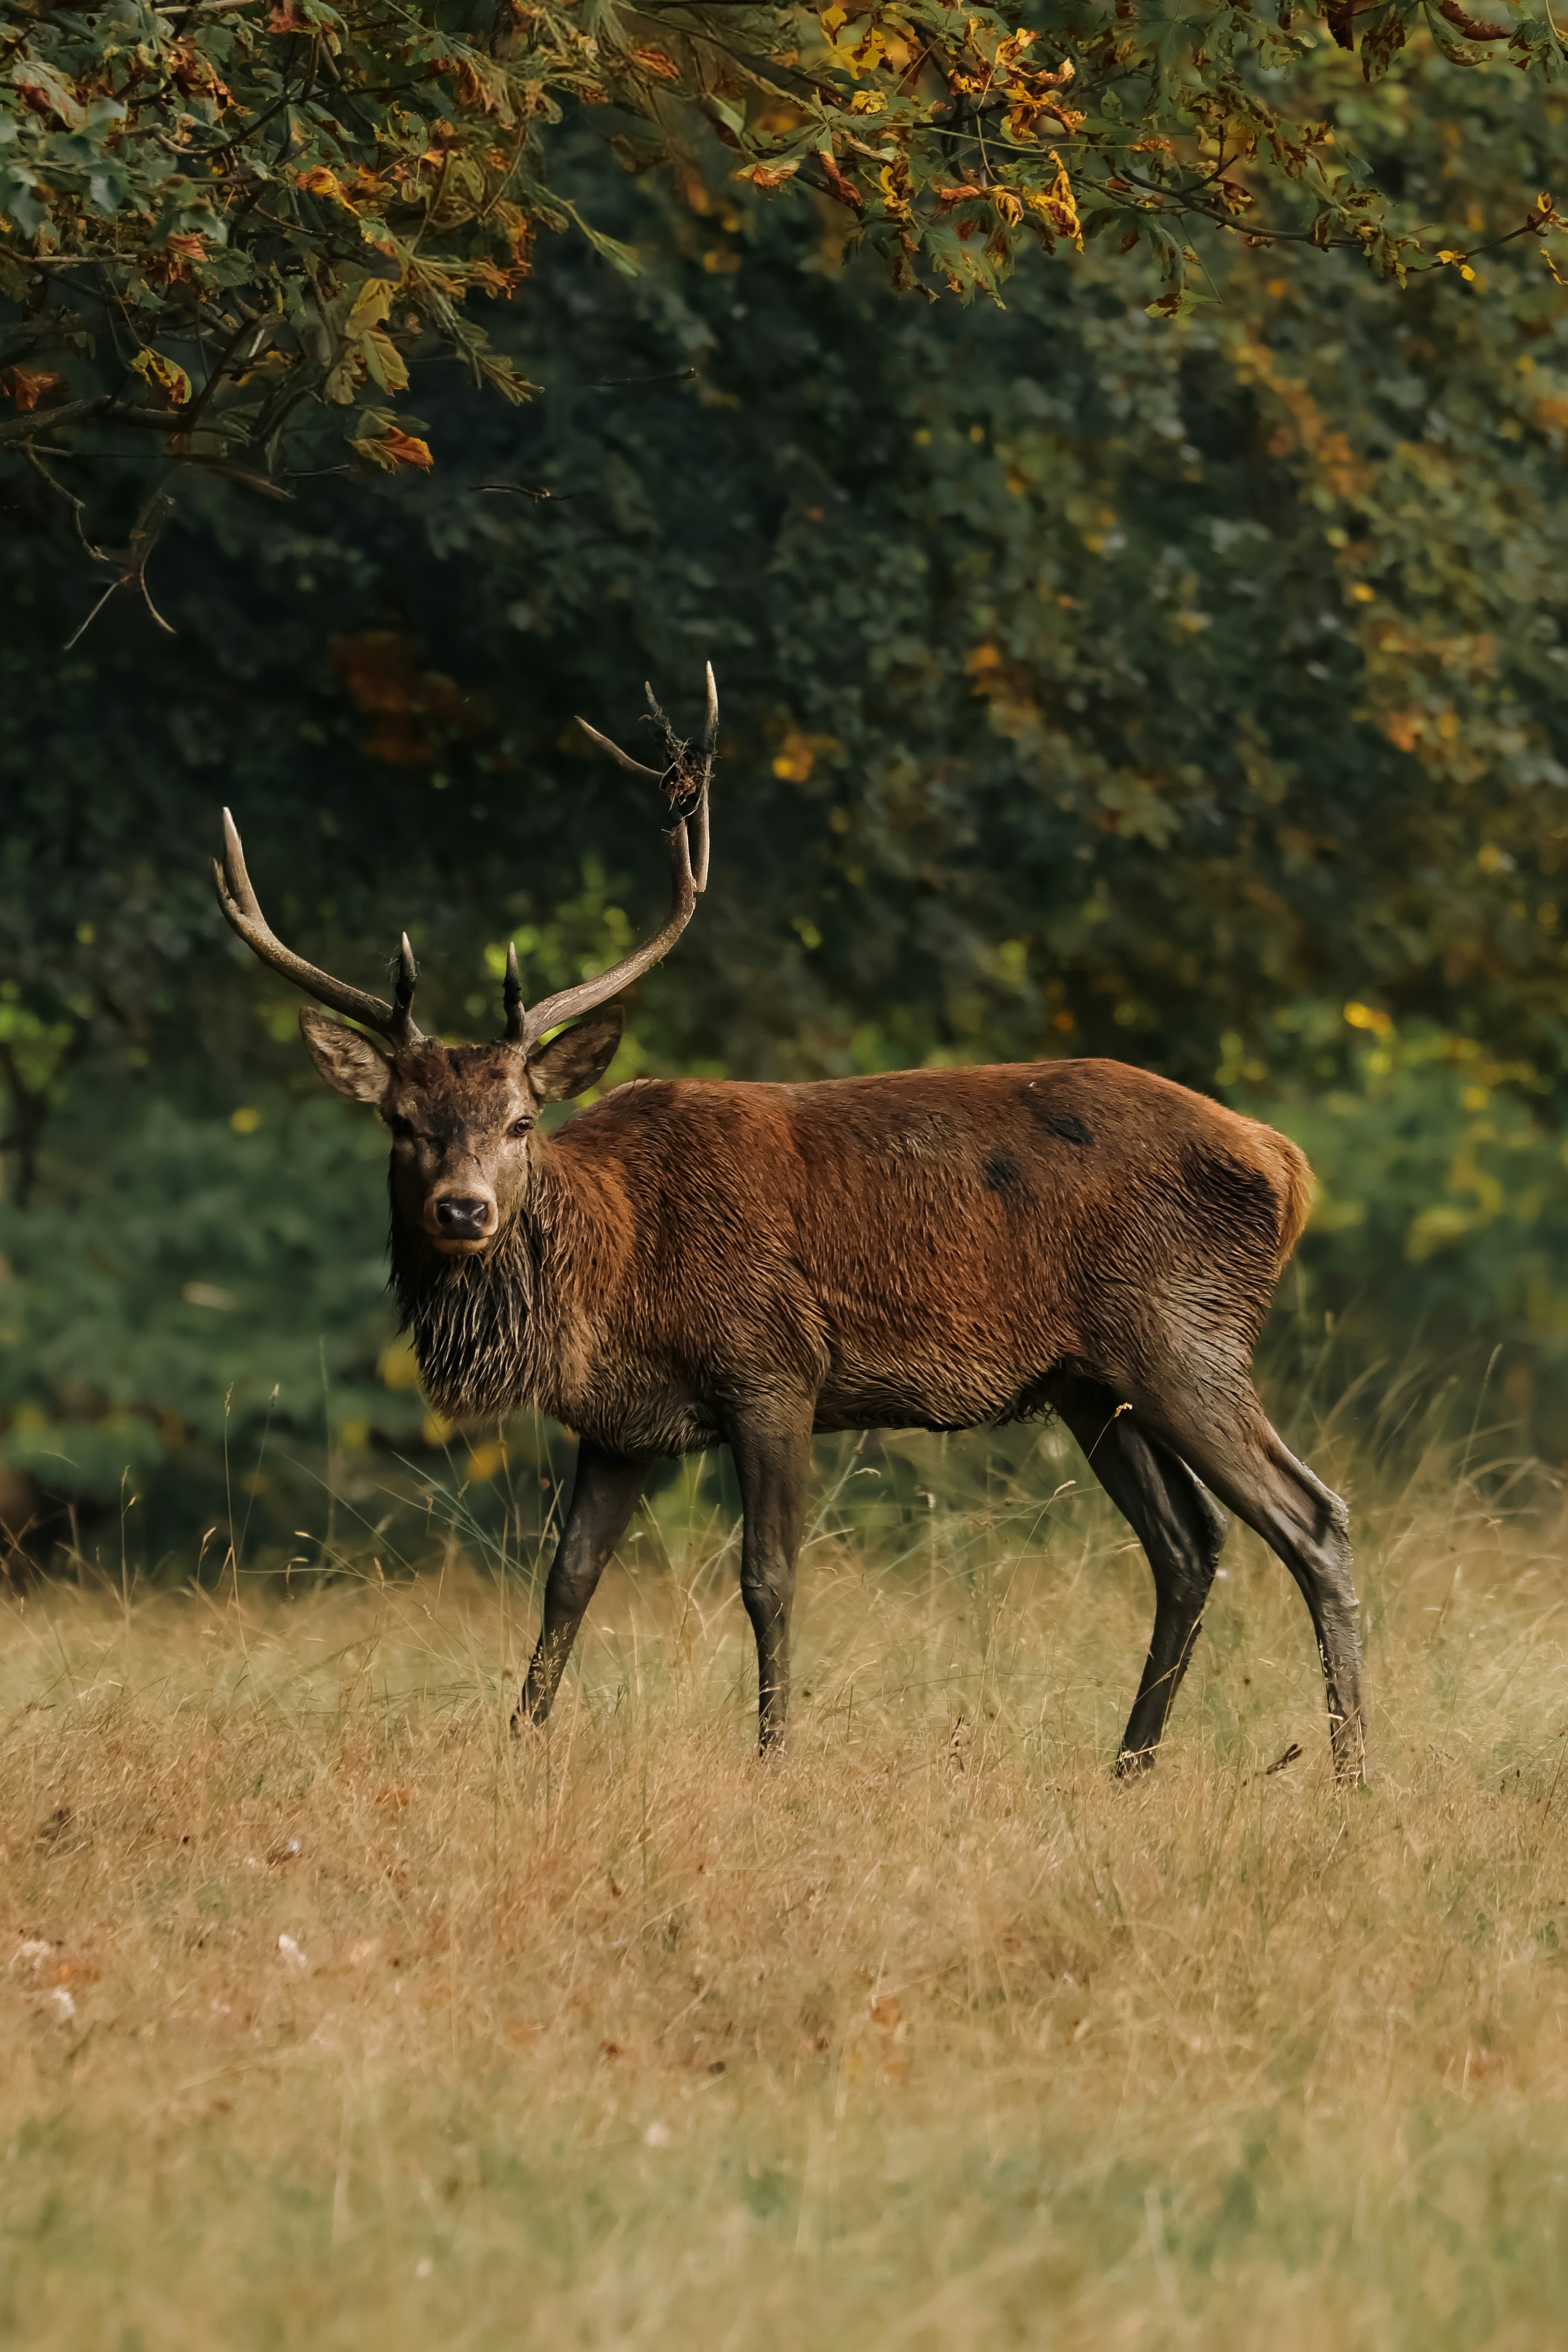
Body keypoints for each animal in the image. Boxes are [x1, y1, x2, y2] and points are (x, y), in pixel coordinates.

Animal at [213, 668, 1365, 1782]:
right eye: (402, 1121)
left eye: (519, 1119)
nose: (463, 1209)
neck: (613, 1279)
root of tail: (1284, 1158)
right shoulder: (617, 1423)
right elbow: (566, 1578)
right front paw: (518, 1744)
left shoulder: (773, 1368)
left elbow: (767, 1576)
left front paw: (774, 1755)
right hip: (1089, 1380)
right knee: (1186, 1544)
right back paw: (1129, 1764)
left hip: (1181, 1332)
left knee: (1309, 1516)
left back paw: (1349, 1769)